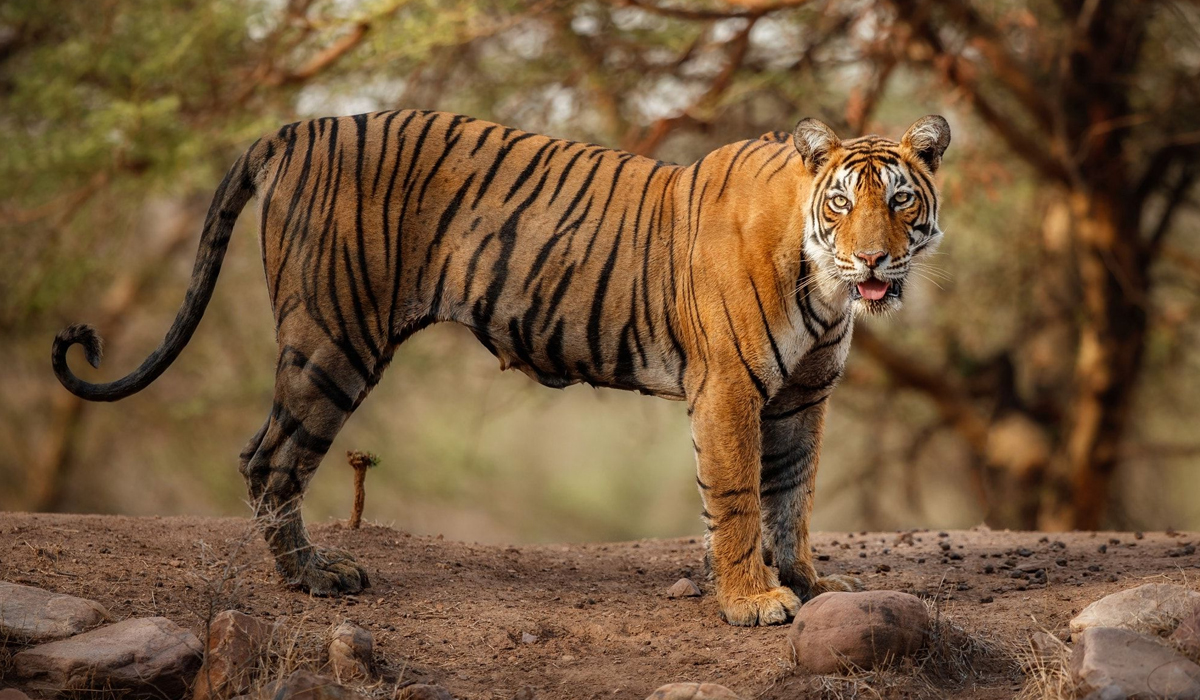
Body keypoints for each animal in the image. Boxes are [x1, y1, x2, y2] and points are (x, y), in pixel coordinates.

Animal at [54, 111, 945, 629]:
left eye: (900, 200)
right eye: (842, 202)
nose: (873, 259)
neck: (825, 285)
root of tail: (295, 129)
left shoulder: (802, 397)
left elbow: (791, 496)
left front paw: (806, 583)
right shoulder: (728, 388)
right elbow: (736, 499)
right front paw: (752, 601)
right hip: (333, 337)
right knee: (269, 458)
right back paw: (314, 578)